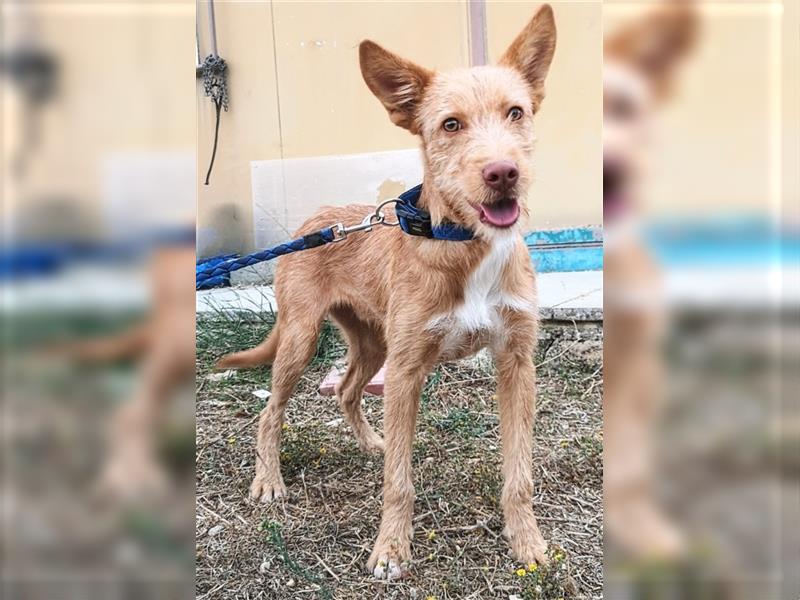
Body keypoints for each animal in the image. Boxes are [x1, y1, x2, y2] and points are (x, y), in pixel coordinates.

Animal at [217, 3, 556, 576]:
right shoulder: (406, 370)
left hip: (373, 342)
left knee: (348, 391)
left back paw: (370, 441)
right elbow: (399, 481)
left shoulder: (516, 362)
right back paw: (269, 480)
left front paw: (527, 542)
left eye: (516, 112)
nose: (503, 173)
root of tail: (314, 221)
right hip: (303, 338)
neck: (464, 245)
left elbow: (520, 474)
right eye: (450, 124)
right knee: (270, 411)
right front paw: (391, 548)